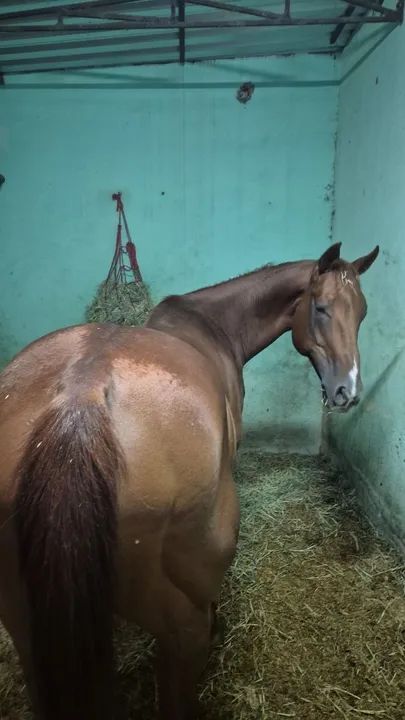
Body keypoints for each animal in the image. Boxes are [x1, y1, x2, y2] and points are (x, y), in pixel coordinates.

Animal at [0, 241, 378, 720]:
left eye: (361, 313)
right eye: (322, 308)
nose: (348, 391)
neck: (213, 323)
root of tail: (81, 395)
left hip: (27, 627)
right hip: (181, 613)